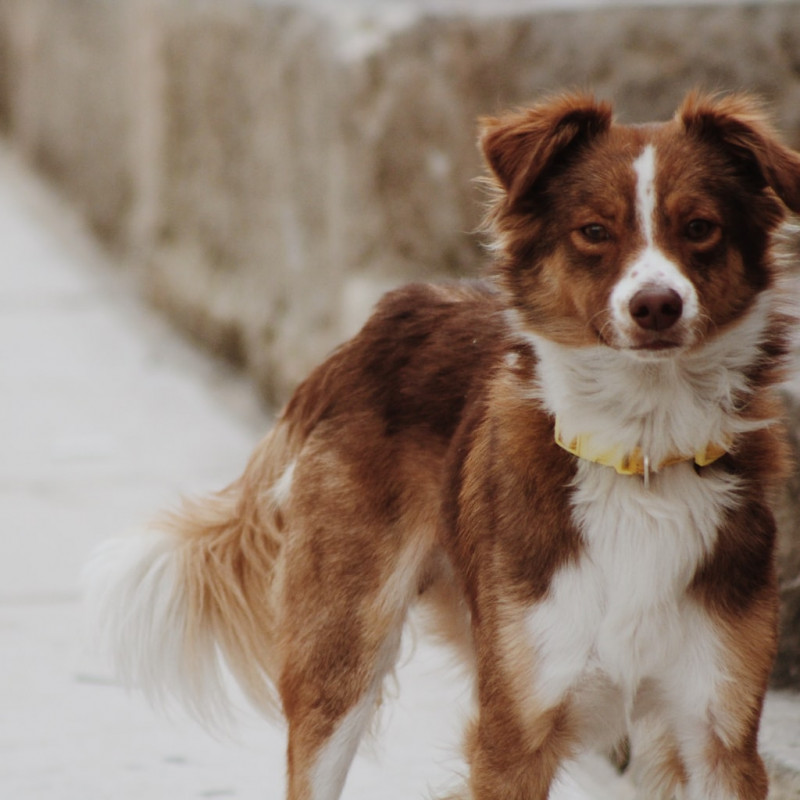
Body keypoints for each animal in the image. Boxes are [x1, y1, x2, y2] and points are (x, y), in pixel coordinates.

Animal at [86, 90, 800, 796]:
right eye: (594, 232)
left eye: (700, 227)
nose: (656, 306)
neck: (642, 454)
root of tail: (385, 318)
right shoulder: (513, 736)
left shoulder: (719, 740)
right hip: (342, 655)